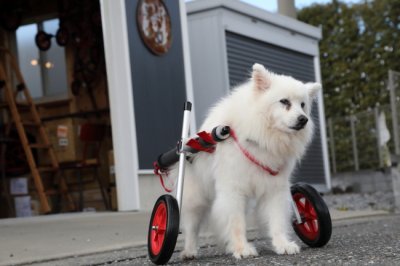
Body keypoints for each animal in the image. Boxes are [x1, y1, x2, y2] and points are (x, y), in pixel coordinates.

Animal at [180, 63, 320, 258]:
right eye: (284, 102)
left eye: (302, 105)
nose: (303, 119)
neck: (264, 137)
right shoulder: (233, 189)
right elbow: (236, 222)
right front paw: (242, 249)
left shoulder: (274, 189)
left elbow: (276, 220)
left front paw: (283, 245)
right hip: (196, 199)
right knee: (191, 226)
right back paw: (189, 251)